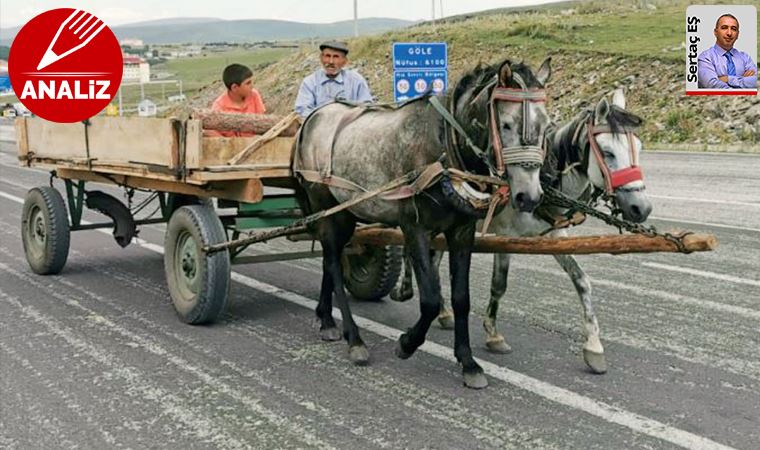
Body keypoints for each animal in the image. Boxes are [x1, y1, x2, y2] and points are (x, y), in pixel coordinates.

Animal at [294, 58, 548, 388]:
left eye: (547, 126)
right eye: (506, 124)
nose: (529, 197)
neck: (442, 149)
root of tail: (314, 116)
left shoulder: (462, 231)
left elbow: (461, 298)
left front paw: (468, 363)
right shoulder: (414, 228)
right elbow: (429, 299)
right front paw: (407, 343)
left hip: (346, 213)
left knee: (330, 259)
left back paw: (325, 319)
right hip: (328, 209)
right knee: (334, 265)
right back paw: (354, 339)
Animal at [392, 87, 652, 372]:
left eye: (639, 147)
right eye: (607, 152)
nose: (641, 208)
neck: (544, 179)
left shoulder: (555, 235)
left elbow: (581, 280)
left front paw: (593, 346)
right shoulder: (506, 236)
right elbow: (499, 284)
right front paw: (493, 334)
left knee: (434, 259)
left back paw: (443, 311)